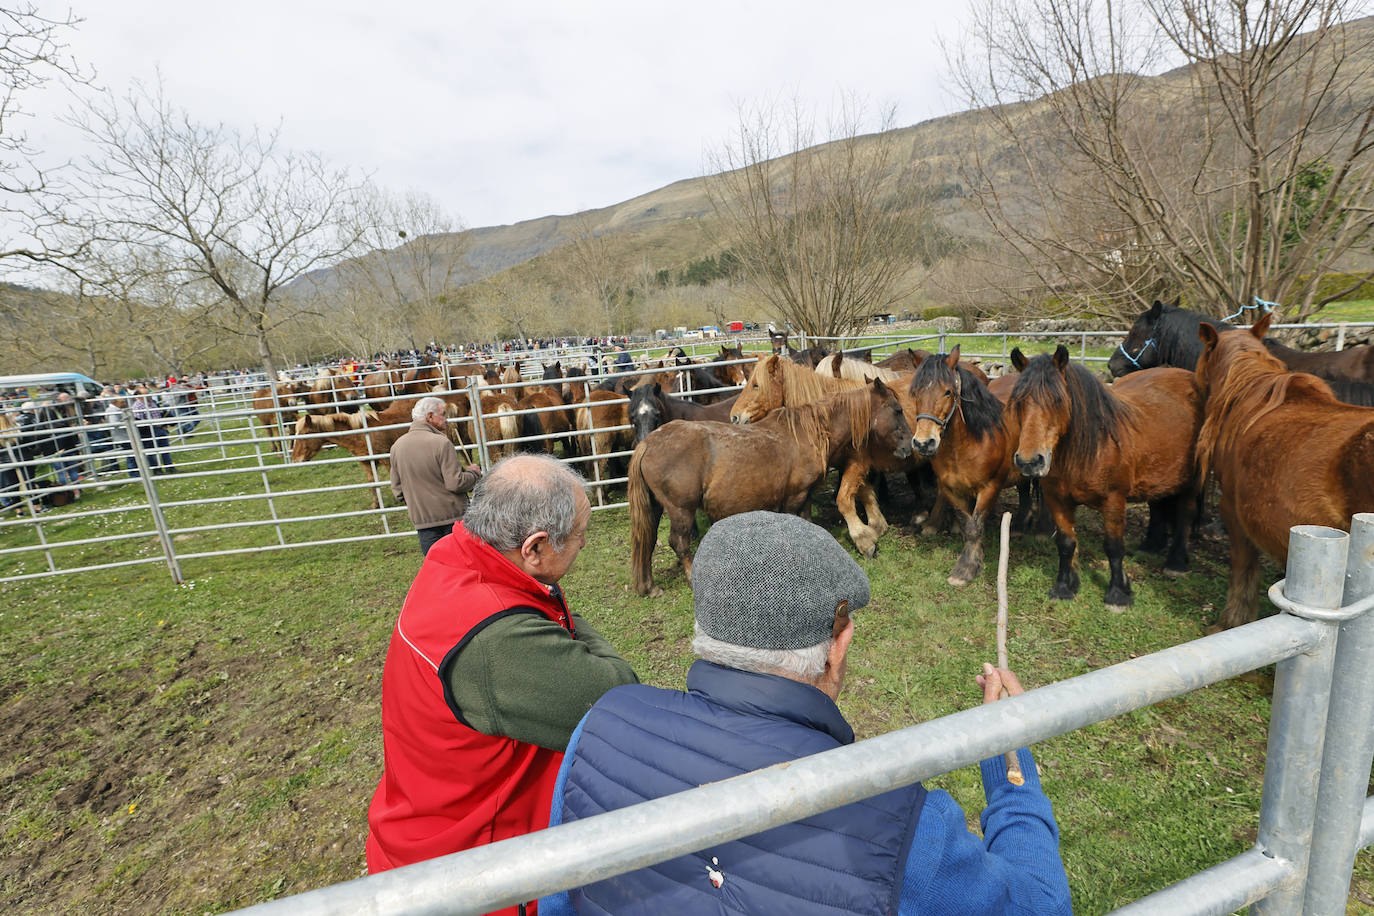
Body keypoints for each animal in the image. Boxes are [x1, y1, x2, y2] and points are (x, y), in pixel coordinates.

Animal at [629, 379, 912, 596]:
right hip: (680, 509)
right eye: (897, 410)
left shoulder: (805, 495)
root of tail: (648, 443)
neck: (808, 433)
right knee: (679, 542)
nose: (910, 446)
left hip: (656, 508)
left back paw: (649, 587)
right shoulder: (795, 496)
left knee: (647, 539)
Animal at [906, 347, 1027, 585]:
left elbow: (976, 525)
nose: (924, 443)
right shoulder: (952, 489)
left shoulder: (989, 488)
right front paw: (968, 562)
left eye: (947, 392)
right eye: (914, 393)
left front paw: (969, 568)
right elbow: (967, 523)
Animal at [1011, 343, 1203, 609]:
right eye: (1019, 402)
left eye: (1057, 400)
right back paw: (1150, 547)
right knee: (1157, 506)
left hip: (1192, 480)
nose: (1029, 461)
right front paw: (1064, 587)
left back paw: (1175, 563)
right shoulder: (1057, 499)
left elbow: (1113, 547)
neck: (1092, 448)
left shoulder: (1113, 500)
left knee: (1185, 513)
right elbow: (1066, 543)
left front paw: (1117, 594)